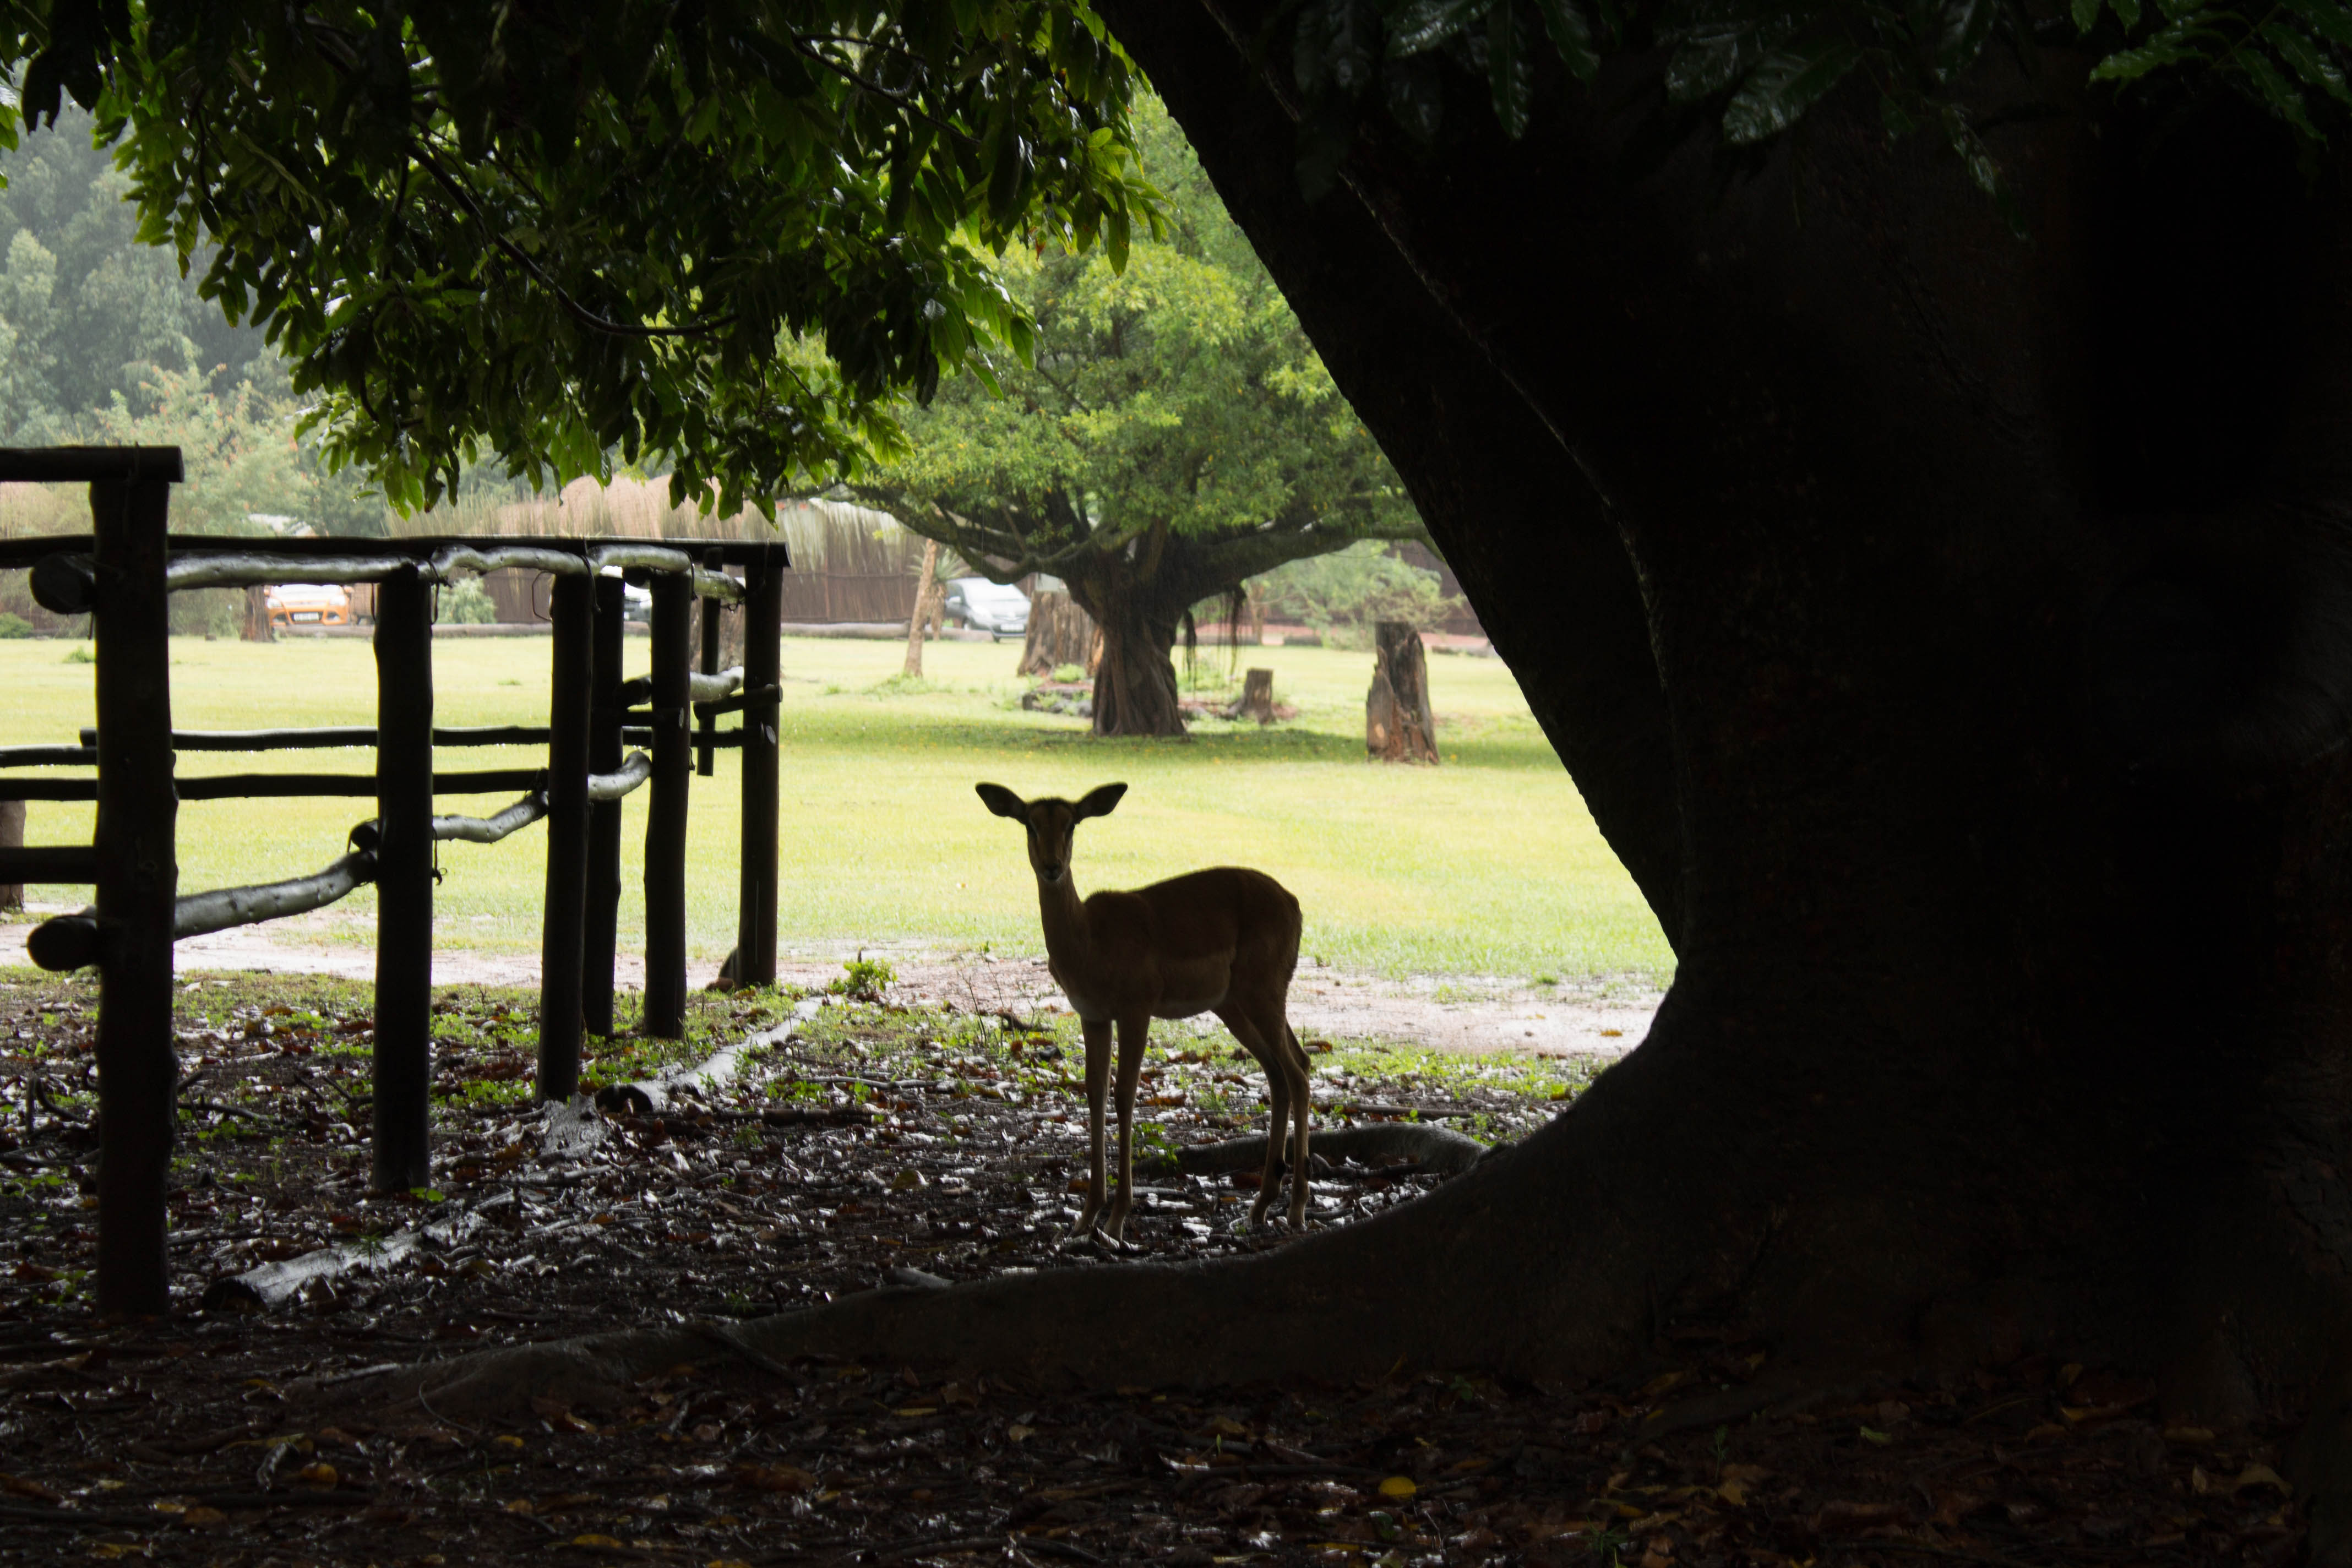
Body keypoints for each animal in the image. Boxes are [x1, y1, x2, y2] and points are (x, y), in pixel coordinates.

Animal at [969, 785, 1308, 1241]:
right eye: (1030, 824)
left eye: (1072, 823)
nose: (1053, 866)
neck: (1089, 944)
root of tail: (1295, 905)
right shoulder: (1092, 1014)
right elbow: (1094, 1094)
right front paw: (1083, 1219)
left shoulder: (1137, 1007)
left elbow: (1125, 1094)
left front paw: (1116, 1220)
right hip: (1235, 1003)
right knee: (1285, 1068)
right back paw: (1258, 1208)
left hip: (1263, 991)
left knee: (1297, 1072)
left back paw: (1296, 1210)